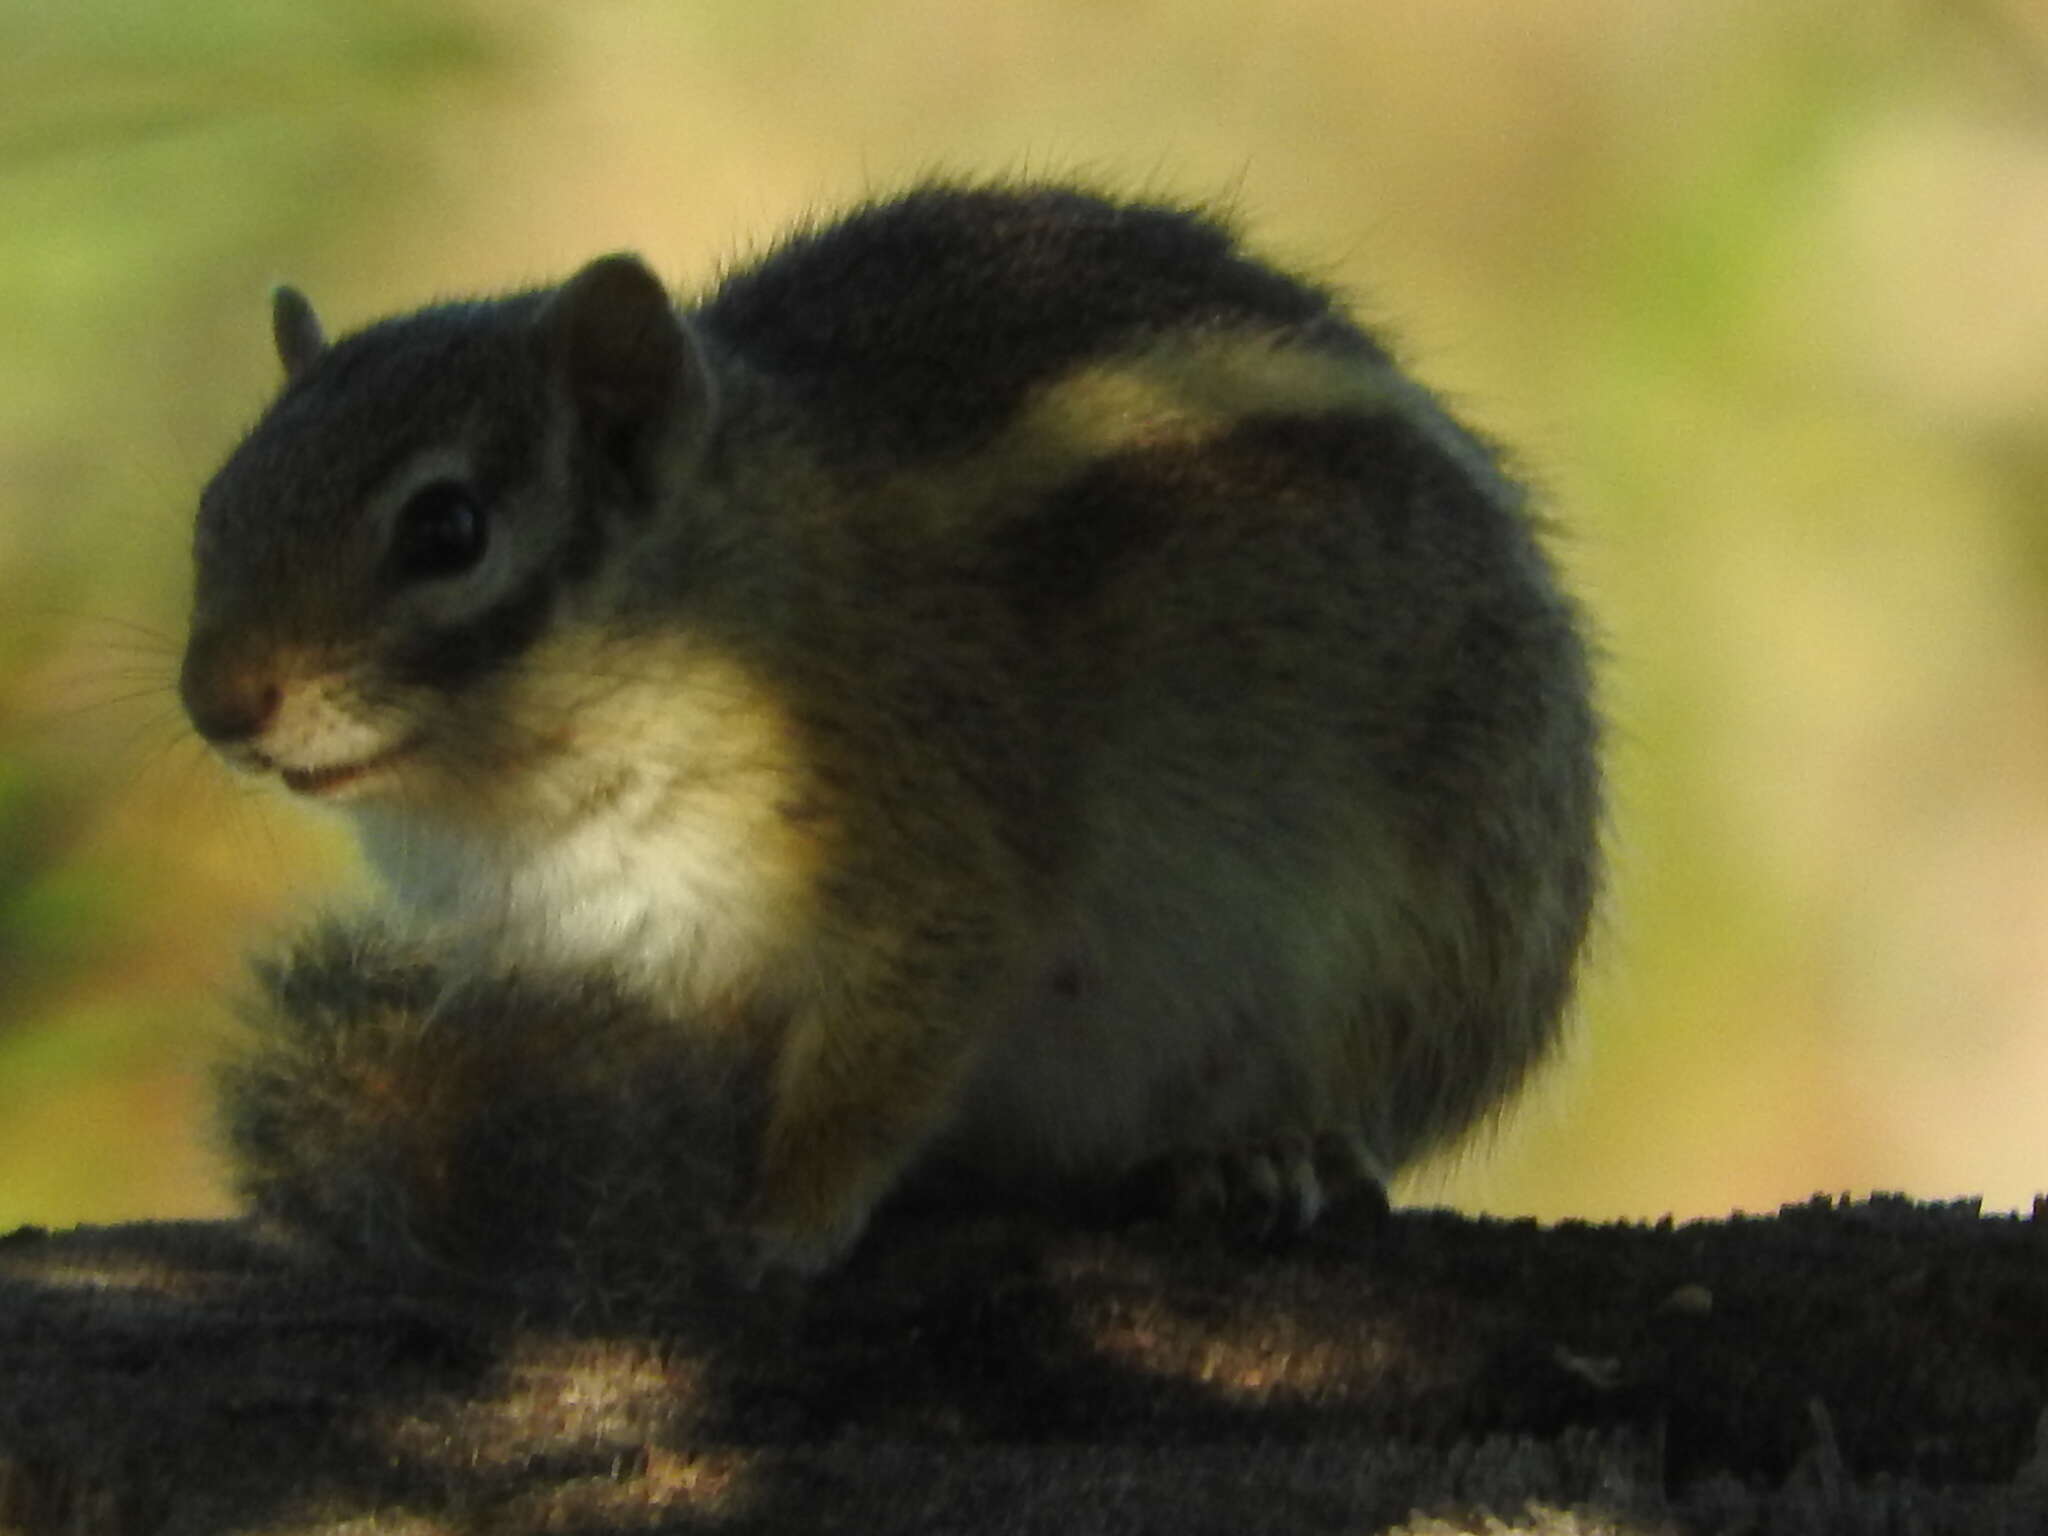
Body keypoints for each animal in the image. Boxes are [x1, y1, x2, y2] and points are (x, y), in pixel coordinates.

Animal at [180, 183, 1597, 1277]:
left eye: (446, 530)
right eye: (215, 507)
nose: (217, 705)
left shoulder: (928, 842)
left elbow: (886, 1050)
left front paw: (780, 1218)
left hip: (1434, 915)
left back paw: (1265, 1148)